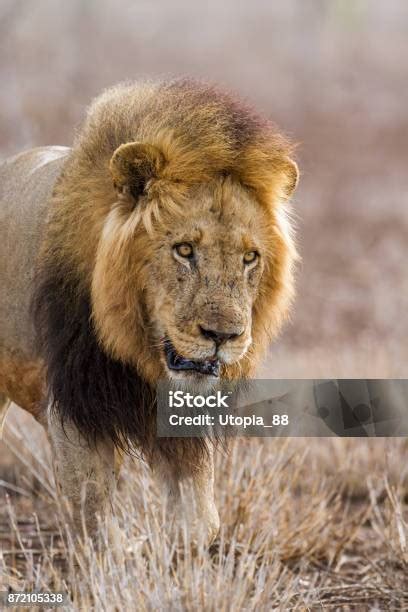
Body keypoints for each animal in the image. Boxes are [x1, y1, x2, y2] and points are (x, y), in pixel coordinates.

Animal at [0, 79, 300, 544]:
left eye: (250, 257)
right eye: (184, 250)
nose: (223, 337)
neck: (141, 352)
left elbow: (200, 518)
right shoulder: (72, 404)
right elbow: (95, 513)